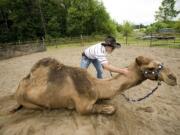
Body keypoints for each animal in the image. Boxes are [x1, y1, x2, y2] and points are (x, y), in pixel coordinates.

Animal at [15, 56, 177, 115]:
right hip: (29, 102)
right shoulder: (83, 107)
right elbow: (111, 109)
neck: (96, 86)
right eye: (151, 67)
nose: (173, 78)